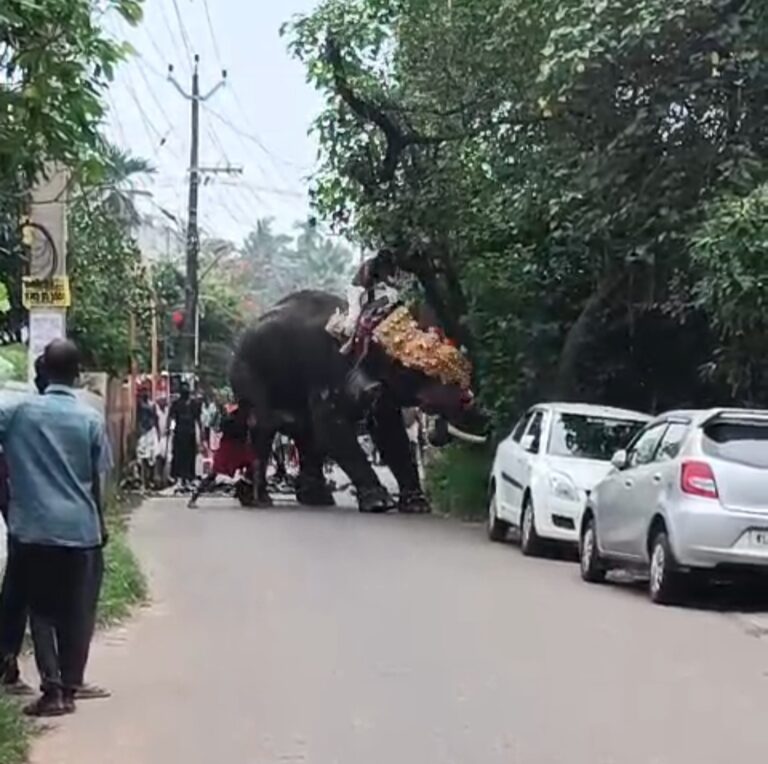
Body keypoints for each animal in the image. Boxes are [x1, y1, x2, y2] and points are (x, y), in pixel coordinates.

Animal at [231, 290, 488, 512]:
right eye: (420, 371)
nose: (468, 399)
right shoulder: (325, 370)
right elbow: (332, 429)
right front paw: (380, 504)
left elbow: (389, 432)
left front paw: (417, 505)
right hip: (248, 375)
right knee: (263, 427)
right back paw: (258, 499)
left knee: (305, 436)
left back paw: (317, 499)